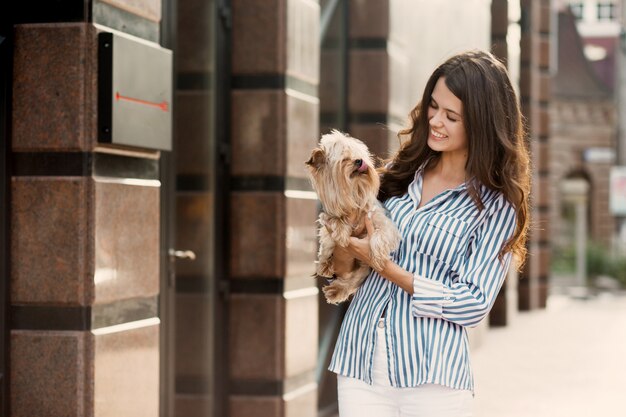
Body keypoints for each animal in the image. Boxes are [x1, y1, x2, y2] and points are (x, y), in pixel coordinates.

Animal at [306, 128, 400, 304]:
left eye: (360, 155)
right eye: (344, 160)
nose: (359, 161)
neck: (355, 194)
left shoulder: (382, 222)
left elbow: (379, 235)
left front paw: (377, 257)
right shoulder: (327, 219)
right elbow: (330, 234)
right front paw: (340, 235)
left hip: (363, 269)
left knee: (355, 279)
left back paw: (335, 290)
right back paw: (328, 274)